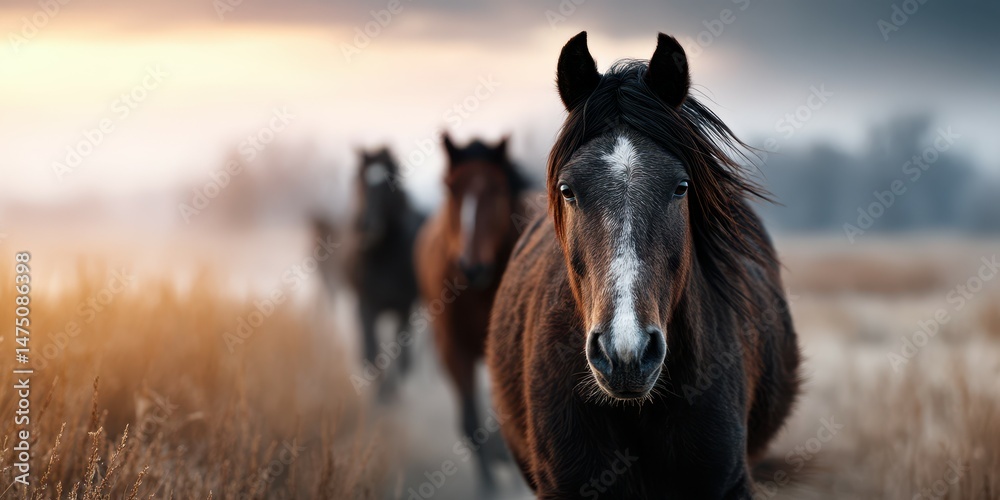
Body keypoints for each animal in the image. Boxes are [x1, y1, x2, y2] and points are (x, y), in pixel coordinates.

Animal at [344, 147, 423, 396]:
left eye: (389, 184)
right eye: (360, 179)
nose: (366, 226)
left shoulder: (403, 305)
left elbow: (398, 351)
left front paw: (392, 388)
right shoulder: (366, 303)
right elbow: (372, 349)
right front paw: (380, 393)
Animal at [413, 133, 531, 489]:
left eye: (498, 189)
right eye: (451, 188)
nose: (472, 266)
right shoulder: (454, 350)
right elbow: (470, 422)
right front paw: (489, 486)